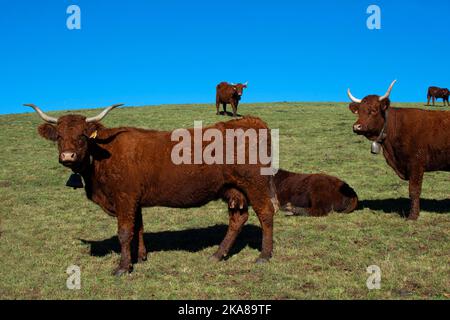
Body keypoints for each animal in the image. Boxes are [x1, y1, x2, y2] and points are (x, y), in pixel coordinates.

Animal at [350, 80, 450, 220]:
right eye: (358, 111)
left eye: (374, 110)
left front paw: (412, 216)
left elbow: (414, 190)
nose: (356, 126)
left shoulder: (416, 164)